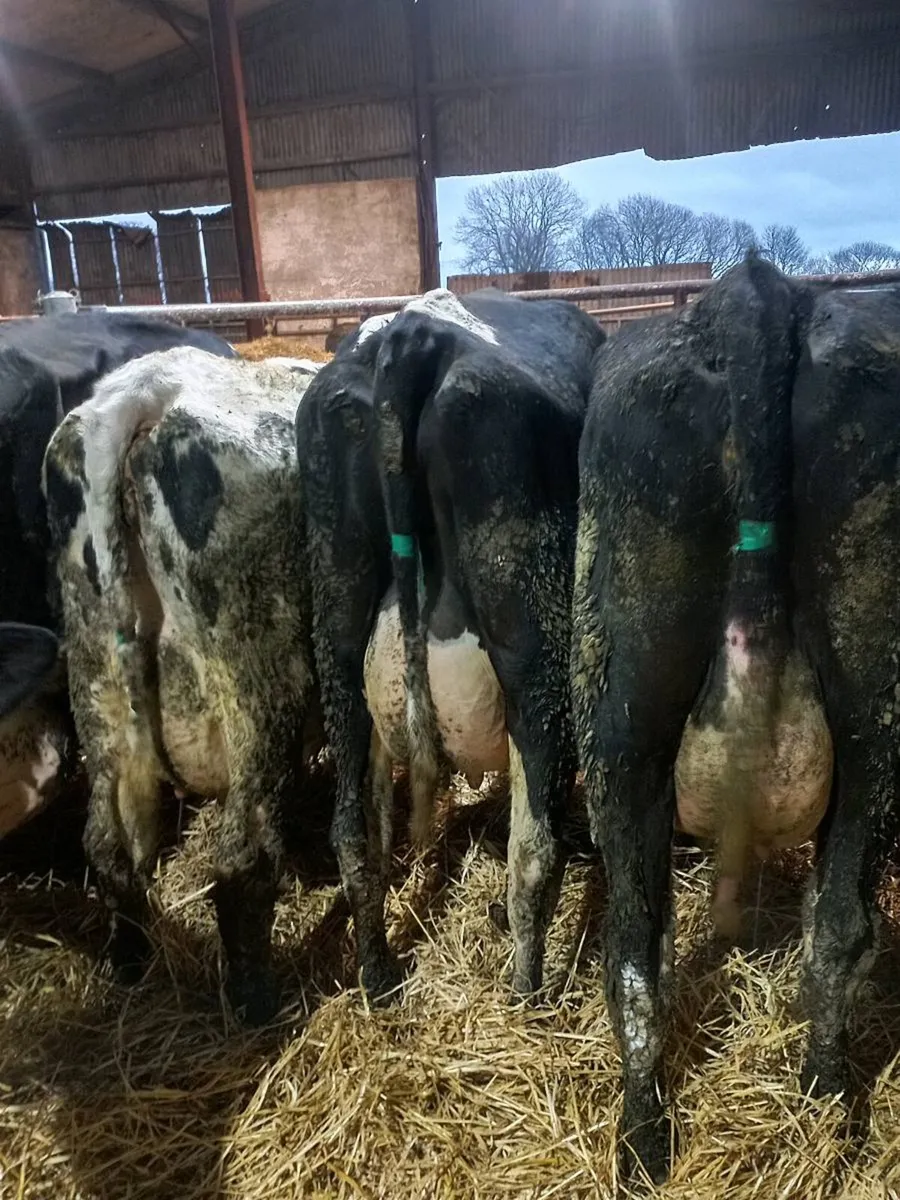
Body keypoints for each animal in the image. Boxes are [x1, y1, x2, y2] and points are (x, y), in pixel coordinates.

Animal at [44, 347, 323, 1023]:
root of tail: (144, 392)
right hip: (264, 678)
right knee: (242, 856)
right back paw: (257, 1004)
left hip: (96, 673)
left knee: (107, 844)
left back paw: (128, 965)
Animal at [296, 287, 604, 1003]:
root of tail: (412, 336)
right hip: (534, 637)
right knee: (534, 842)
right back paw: (527, 990)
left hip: (338, 624)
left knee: (354, 831)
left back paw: (378, 976)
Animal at [570, 253, 900, 1182]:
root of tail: (755, 293)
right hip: (876, 698)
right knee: (842, 925)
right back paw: (825, 1109)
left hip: (626, 713)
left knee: (634, 948)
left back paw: (643, 1141)